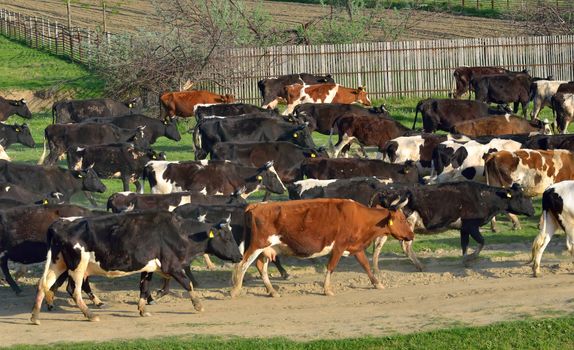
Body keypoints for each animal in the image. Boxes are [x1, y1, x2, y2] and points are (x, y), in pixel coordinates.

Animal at [29, 209, 243, 324]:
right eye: (227, 237)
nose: (240, 256)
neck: (179, 232)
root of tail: (59, 224)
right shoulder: (172, 265)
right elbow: (187, 283)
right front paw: (198, 305)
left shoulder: (148, 268)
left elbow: (144, 288)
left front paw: (142, 309)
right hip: (77, 265)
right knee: (74, 290)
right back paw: (90, 314)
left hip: (58, 262)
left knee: (43, 284)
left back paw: (35, 316)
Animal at [230, 198, 418, 296]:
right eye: (402, 219)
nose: (412, 235)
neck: (359, 216)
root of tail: (257, 205)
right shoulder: (339, 246)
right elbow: (331, 267)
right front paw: (327, 289)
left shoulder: (355, 247)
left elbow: (365, 265)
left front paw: (377, 284)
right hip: (258, 245)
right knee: (242, 264)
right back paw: (235, 290)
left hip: (267, 249)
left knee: (261, 266)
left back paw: (272, 291)